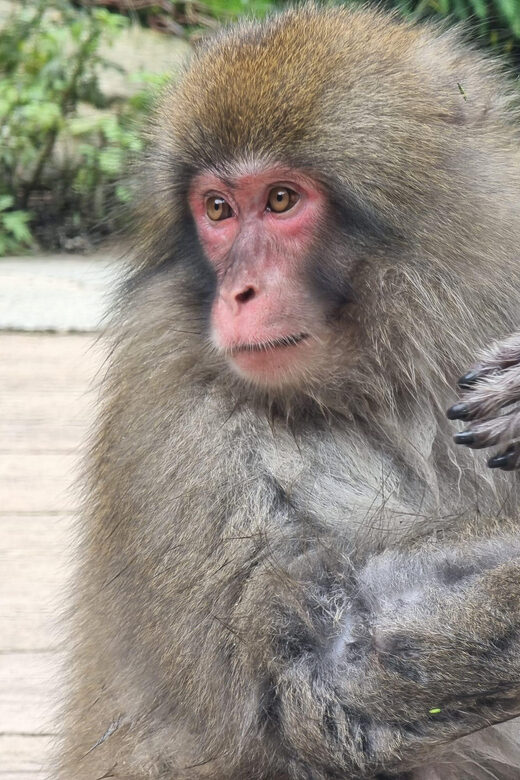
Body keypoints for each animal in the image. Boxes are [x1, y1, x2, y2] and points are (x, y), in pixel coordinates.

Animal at [54, 4, 520, 779]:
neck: (375, 382)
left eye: (280, 200)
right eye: (216, 209)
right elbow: (314, 673)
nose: (239, 293)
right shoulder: (181, 418)